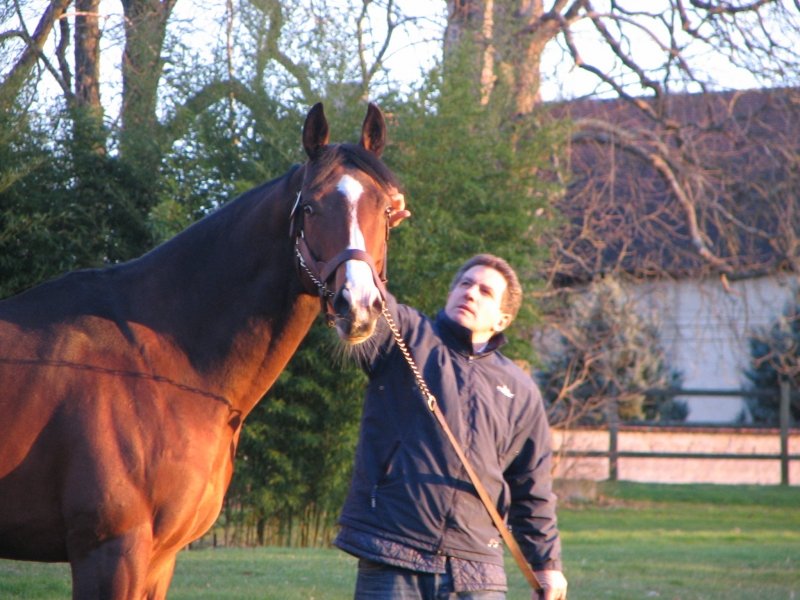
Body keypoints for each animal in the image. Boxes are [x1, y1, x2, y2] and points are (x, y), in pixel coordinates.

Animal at [0, 102, 408, 599]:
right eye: (310, 206)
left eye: (386, 209)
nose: (359, 306)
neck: (158, 363)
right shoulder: (109, 553)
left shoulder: (159, 559)